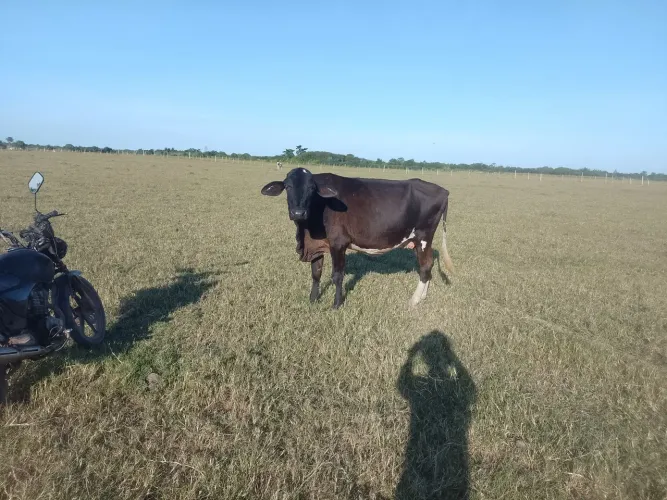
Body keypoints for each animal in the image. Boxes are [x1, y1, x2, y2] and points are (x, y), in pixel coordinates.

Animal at [260, 168, 454, 309]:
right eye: (288, 187)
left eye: (311, 188)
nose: (298, 213)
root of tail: (443, 190)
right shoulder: (316, 244)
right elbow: (316, 273)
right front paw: (313, 300)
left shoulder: (338, 243)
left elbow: (337, 275)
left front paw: (336, 304)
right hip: (418, 241)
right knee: (427, 265)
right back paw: (423, 297)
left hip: (423, 236)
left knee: (425, 267)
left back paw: (414, 300)